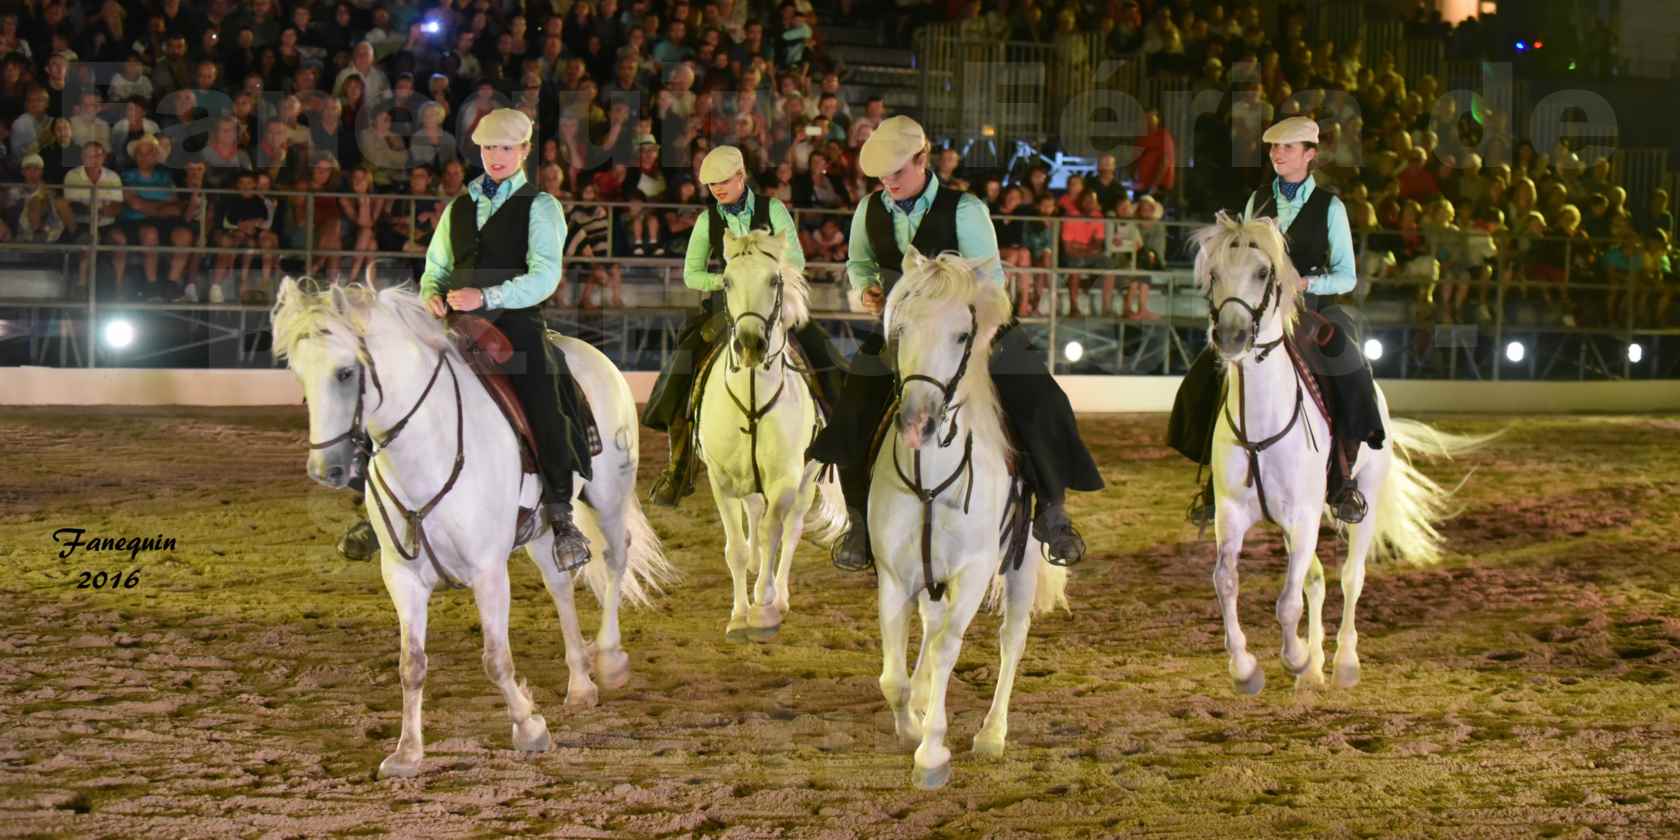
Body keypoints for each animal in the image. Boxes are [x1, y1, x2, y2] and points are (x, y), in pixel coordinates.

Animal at [272, 278, 672, 776]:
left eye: (346, 373)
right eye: (298, 373)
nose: (324, 469)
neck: (429, 447)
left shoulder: (488, 572)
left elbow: (495, 660)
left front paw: (529, 728)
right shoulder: (402, 577)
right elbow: (411, 664)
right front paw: (407, 752)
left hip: (611, 496)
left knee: (616, 559)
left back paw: (611, 659)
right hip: (544, 528)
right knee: (560, 584)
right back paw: (580, 684)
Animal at [695, 230, 846, 641]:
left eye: (774, 280)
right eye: (726, 281)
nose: (750, 344)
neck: (752, 399)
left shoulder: (785, 479)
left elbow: (772, 535)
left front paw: (762, 610)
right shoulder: (722, 480)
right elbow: (735, 547)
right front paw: (737, 615)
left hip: (807, 480)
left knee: (789, 532)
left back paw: (778, 598)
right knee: (753, 514)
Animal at [873, 245, 1068, 789]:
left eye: (962, 334)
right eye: (900, 329)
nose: (918, 421)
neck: (931, 480)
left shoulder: (975, 572)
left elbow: (946, 649)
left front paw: (932, 751)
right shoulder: (895, 576)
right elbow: (893, 674)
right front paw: (910, 724)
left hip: (1022, 566)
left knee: (1011, 639)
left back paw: (991, 734)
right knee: (931, 624)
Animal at [1196, 215, 1485, 695]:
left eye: (1262, 272)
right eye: (1214, 273)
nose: (1231, 336)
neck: (1261, 422)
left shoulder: (1302, 514)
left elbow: (1287, 600)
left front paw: (1293, 656)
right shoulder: (1233, 513)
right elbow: (1226, 582)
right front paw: (1248, 668)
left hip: (1359, 499)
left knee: (1351, 578)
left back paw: (1343, 663)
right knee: (1315, 580)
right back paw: (1314, 669)